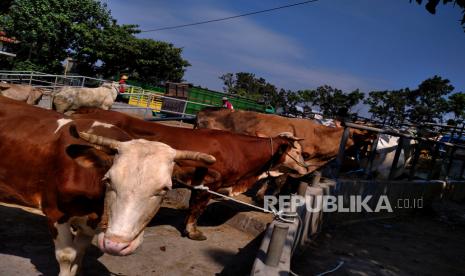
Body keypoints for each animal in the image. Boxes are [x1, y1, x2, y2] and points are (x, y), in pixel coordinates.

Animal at [0, 96, 214, 274]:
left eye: (164, 189)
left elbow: (79, 254)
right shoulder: (55, 213)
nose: (116, 245)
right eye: (109, 180)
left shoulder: (89, 224)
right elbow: (67, 256)